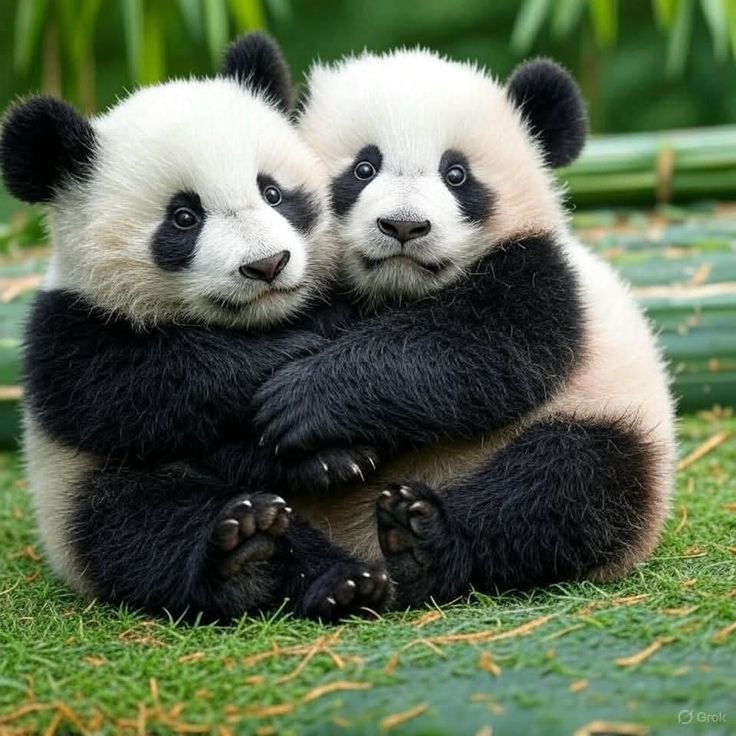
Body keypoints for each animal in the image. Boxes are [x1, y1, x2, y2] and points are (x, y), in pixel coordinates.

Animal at [0, 34, 390, 622]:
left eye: (273, 193)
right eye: (184, 217)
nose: (267, 264)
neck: (254, 322)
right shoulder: (68, 330)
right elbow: (135, 391)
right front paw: (293, 365)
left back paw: (343, 580)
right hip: (78, 493)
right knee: (144, 524)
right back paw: (245, 555)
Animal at [250, 48, 677, 608]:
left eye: (456, 175)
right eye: (364, 168)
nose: (404, 226)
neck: (398, 291)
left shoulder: (542, 277)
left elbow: (484, 356)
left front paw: (306, 399)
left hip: (616, 429)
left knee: (566, 484)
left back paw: (422, 542)